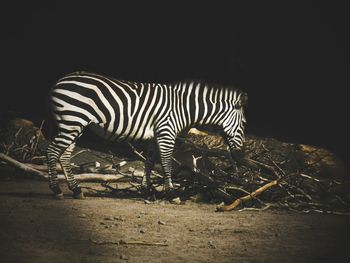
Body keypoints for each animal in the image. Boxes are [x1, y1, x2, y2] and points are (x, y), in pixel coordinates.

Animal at [46, 71, 247, 199]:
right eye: (244, 123)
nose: (241, 154)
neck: (184, 108)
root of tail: (59, 81)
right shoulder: (167, 132)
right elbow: (166, 162)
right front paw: (171, 193)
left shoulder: (155, 136)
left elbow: (149, 162)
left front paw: (146, 190)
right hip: (72, 121)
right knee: (52, 151)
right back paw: (56, 190)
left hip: (73, 125)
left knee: (64, 156)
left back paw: (76, 190)